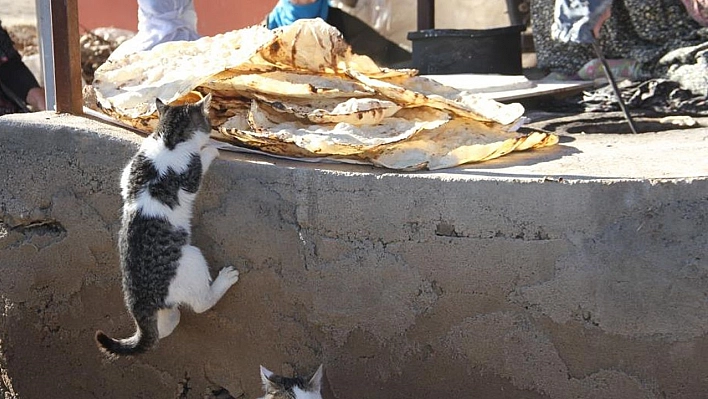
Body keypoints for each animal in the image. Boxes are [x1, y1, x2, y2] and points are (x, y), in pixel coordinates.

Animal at [94, 94, 241, 356]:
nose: (213, 129)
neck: (168, 138)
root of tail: (140, 302)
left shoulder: (128, 174)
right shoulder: (191, 173)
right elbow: (201, 159)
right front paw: (211, 149)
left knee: (160, 330)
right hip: (192, 259)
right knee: (201, 304)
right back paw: (224, 279)